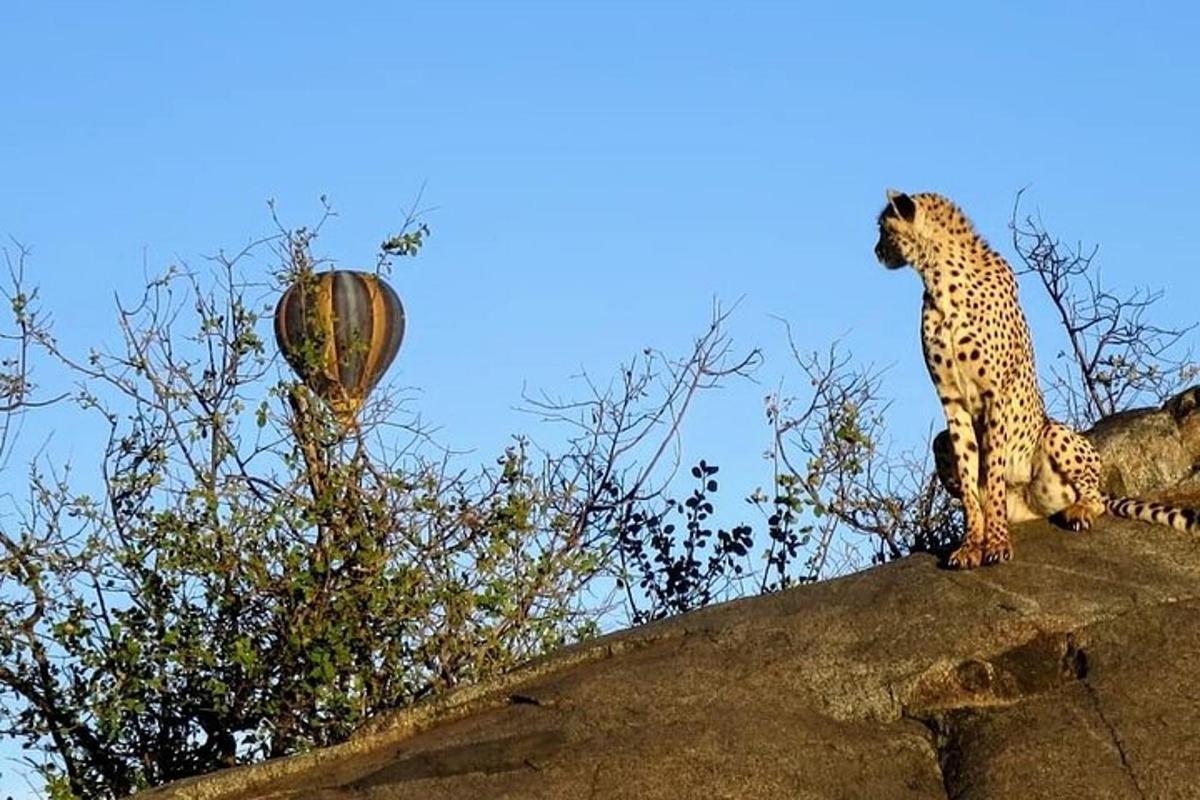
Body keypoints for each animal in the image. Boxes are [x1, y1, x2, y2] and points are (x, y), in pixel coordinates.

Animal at [873, 189, 1200, 568]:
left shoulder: (994, 394)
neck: (939, 277)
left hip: (1054, 434)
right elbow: (970, 475)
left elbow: (993, 470)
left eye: (883, 229)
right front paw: (971, 544)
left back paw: (1078, 510)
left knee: (1095, 497)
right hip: (946, 443)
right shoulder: (951, 399)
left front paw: (997, 544)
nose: (876, 251)